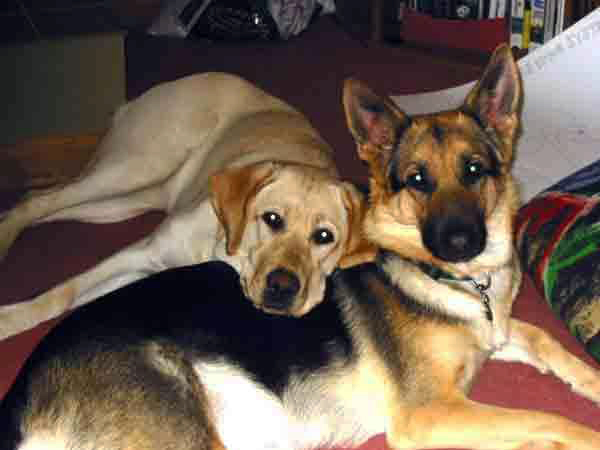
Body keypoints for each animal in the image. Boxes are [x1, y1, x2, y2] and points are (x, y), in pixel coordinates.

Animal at [0, 74, 370, 340]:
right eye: (272, 218)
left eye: (324, 236)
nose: (283, 288)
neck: (224, 251)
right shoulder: (142, 253)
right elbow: (60, 293)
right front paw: (10, 320)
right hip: (132, 167)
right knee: (42, 199)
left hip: (130, 199)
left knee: (39, 204)